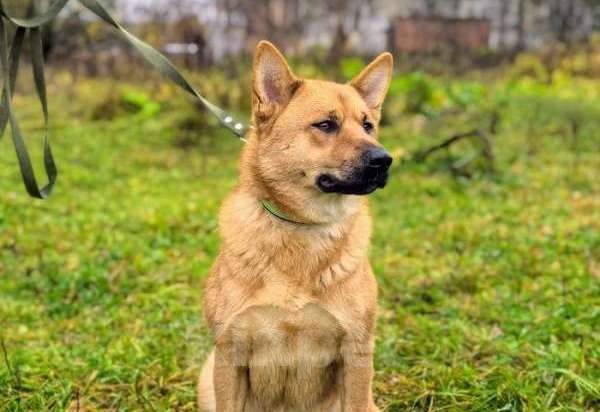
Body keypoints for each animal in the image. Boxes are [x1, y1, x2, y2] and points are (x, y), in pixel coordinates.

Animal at [198, 41, 393, 412]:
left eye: (368, 126)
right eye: (326, 125)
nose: (384, 160)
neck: (302, 227)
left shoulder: (357, 354)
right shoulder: (230, 353)